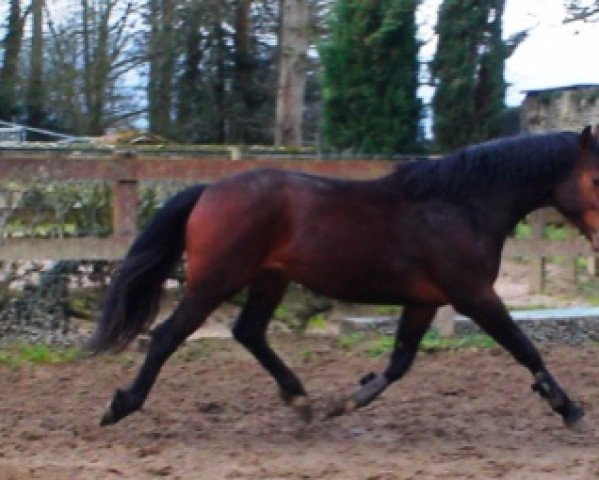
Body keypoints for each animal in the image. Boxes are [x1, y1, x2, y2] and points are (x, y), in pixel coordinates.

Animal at [89, 124, 599, 432]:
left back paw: (300, 399)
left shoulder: (425, 301)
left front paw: (346, 402)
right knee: (167, 335)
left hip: (269, 278)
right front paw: (570, 409)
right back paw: (121, 405)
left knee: (249, 331)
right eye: (595, 178)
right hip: (215, 281)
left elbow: (399, 363)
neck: (459, 206)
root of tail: (208, 189)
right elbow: (525, 348)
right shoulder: (473, 294)